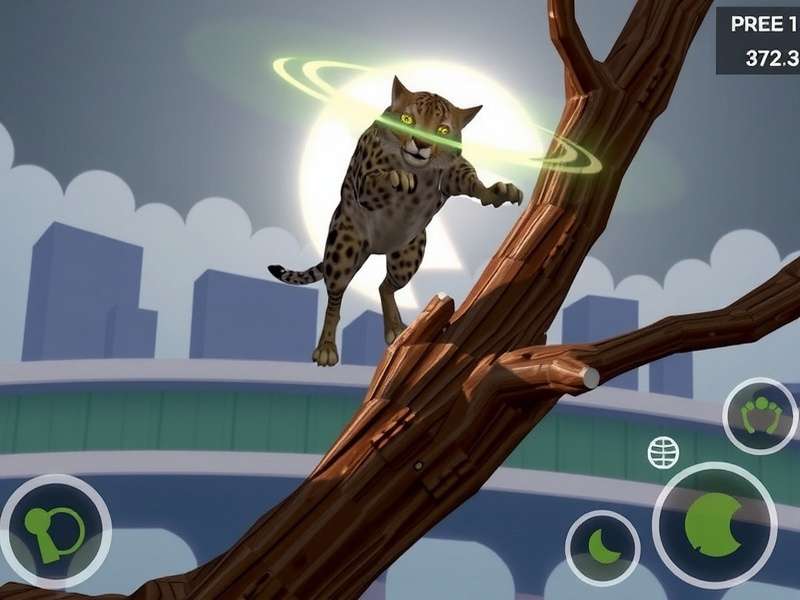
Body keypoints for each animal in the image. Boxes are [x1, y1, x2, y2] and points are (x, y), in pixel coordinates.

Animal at [268, 76, 523, 366]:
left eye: (443, 130)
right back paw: (326, 347)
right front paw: (397, 177)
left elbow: (471, 181)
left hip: (407, 256)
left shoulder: (451, 174)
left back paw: (396, 328)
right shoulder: (365, 183)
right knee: (335, 297)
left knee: (385, 286)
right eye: (407, 119)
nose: (421, 144)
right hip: (342, 250)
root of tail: (374, 247)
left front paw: (499, 191)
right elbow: (378, 178)